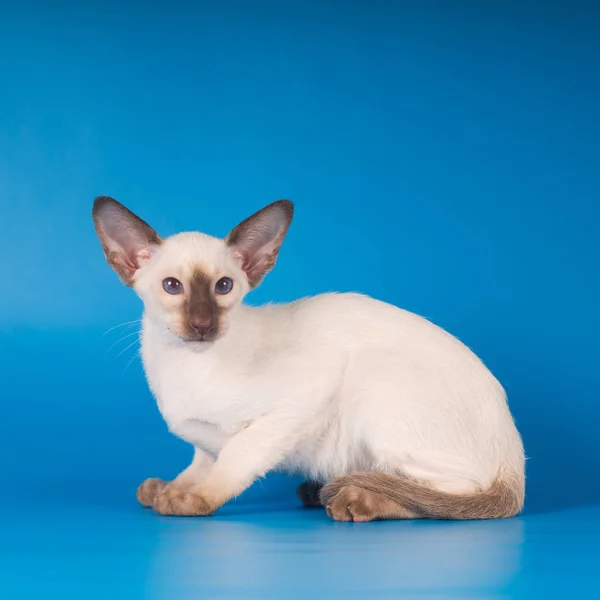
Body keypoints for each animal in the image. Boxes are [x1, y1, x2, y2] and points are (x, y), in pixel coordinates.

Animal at [91, 196, 524, 520]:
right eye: (172, 286)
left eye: (224, 287)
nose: (202, 325)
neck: (183, 364)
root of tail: (514, 454)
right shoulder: (203, 442)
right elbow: (202, 460)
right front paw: (169, 488)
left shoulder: (294, 408)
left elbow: (233, 458)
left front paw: (189, 499)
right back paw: (321, 491)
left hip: (371, 381)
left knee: (450, 498)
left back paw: (355, 500)